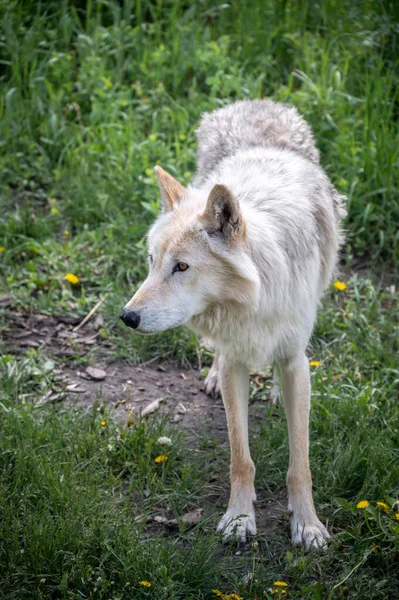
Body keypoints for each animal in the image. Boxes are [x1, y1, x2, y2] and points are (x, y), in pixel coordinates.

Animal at [121, 101, 346, 552]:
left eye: (182, 267)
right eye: (153, 261)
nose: (127, 317)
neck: (254, 298)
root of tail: (256, 104)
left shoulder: (296, 360)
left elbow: (300, 462)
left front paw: (307, 525)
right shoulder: (235, 361)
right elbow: (240, 458)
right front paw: (240, 519)